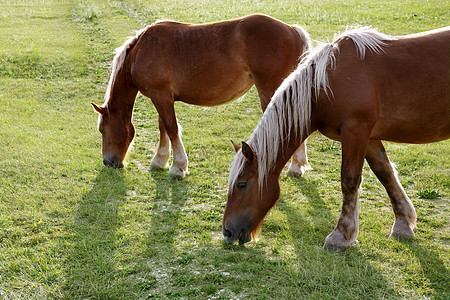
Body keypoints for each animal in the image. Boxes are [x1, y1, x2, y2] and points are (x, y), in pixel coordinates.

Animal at [90, 13, 312, 178]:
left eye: (102, 129)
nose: (109, 162)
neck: (141, 50)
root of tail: (292, 30)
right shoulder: (162, 96)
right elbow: (164, 127)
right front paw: (160, 160)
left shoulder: (160, 95)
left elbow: (171, 128)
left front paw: (178, 167)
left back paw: (294, 166)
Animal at [223, 26, 448, 251]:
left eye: (241, 184)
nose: (227, 231)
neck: (325, 84)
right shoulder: (369, 138)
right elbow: (385, 173)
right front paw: (403, 223)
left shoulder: (355, 132)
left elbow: (349, 180)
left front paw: (341, 236)